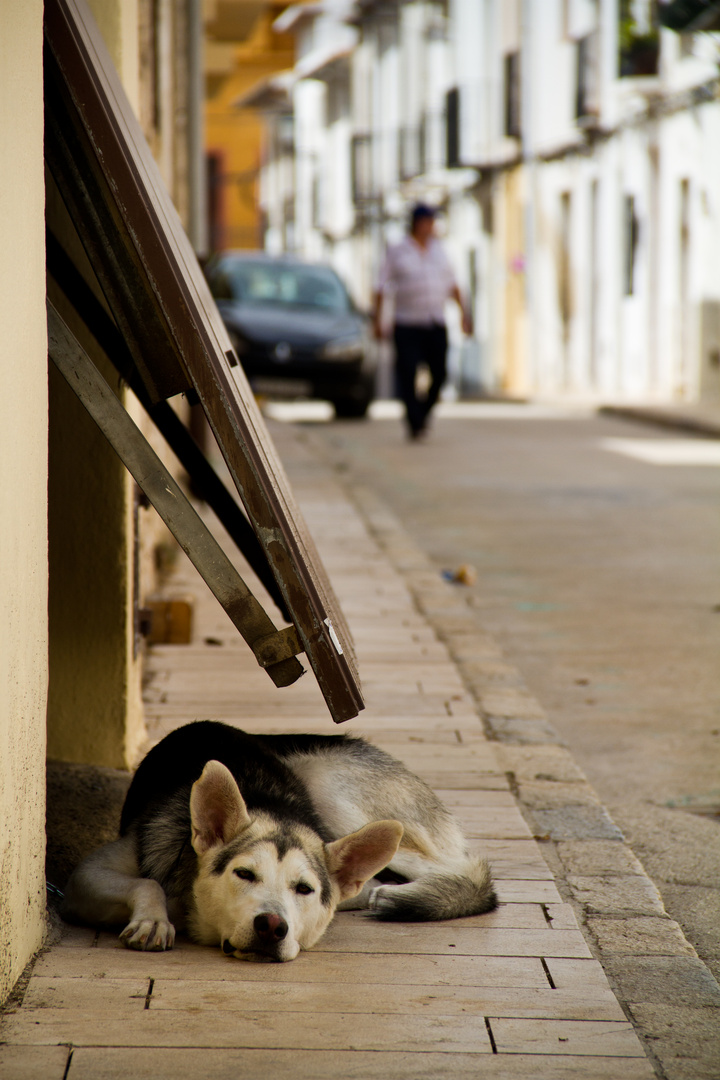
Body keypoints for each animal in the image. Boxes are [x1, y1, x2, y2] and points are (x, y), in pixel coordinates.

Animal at [63, 721, 496, 959]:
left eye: (304, 888)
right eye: (243, 875)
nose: (272, 927)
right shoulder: (88, 874)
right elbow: (147, 882)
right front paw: (154, 919)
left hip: (327, 782)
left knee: (464, 871)